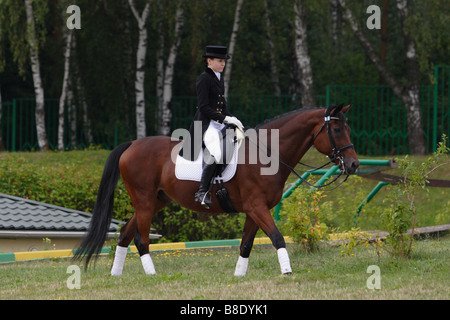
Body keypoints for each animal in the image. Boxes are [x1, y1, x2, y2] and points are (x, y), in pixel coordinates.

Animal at [75, 104, 360, 276]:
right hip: (144, 201)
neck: (266, 154)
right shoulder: (257, 208)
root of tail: (132, 144)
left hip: (155, 201)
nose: (354, 164)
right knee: (140, 238)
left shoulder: (254, 211)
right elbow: (278, 238)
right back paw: (152, 275)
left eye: (347, 128)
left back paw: (116, 274)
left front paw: (238, 276)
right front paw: (287, 272)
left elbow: (246, 245)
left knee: (125, 234)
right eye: (336, 129)